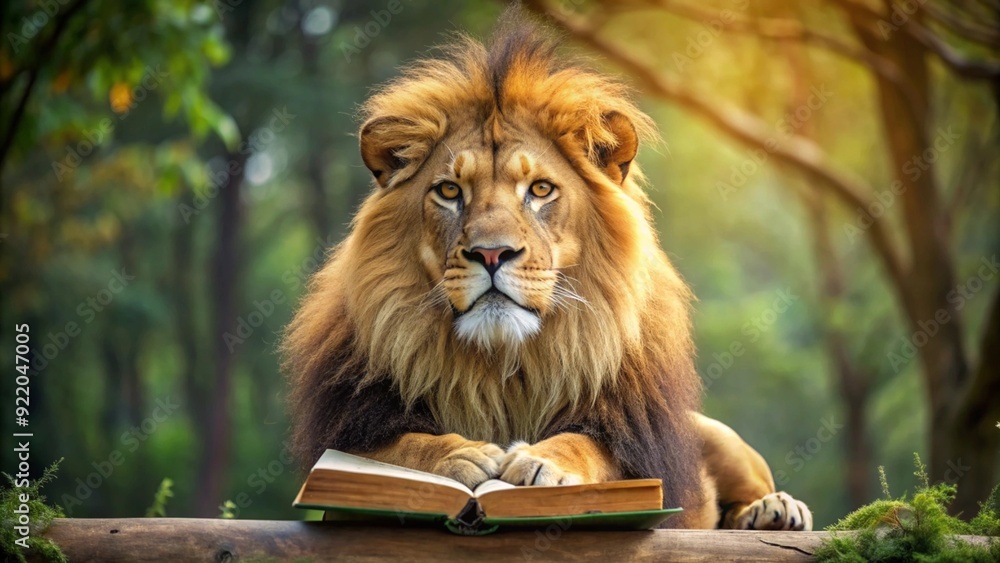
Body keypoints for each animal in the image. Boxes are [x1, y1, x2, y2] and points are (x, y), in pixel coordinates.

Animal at [281, 9, 812, 530]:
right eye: (450, 191)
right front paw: (458, 457)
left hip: (714, 432)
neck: (501, 367)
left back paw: (774, 511)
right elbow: (395, 449)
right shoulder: (357, 425)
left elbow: (588, 445)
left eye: (539, 189)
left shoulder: (632, 440)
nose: (491, 254)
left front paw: (542, 463)